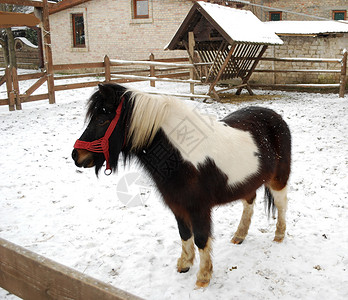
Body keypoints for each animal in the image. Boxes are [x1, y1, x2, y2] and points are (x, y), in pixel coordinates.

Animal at [72, 82, 290, 288]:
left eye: (102, 119)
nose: (76, 155)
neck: (181, 156)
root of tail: (275, 117)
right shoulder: (177, 205)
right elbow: (185, 234)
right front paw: (185, 264)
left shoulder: (199, 208)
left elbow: (201, 238)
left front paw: (203, 277)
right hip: (247, 182)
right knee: (249, 203)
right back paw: (239, 235)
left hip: (278, 180)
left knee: (281, 205)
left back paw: (279, 235)